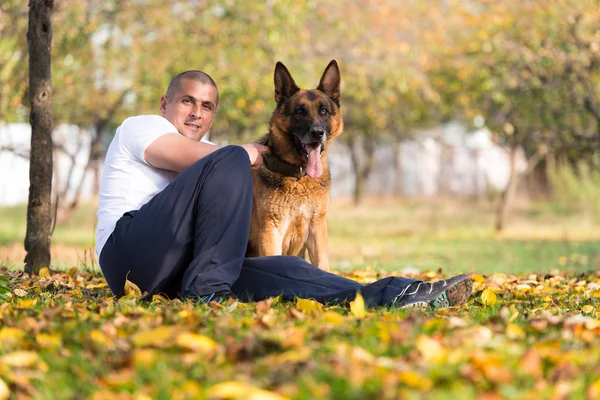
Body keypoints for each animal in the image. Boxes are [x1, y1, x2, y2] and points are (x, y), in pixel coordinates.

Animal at [246, 60, 342, 272]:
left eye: (324, 111)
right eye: (299, 111)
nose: (317, 133)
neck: (300, 177)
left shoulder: (317, 229)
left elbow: (322, 266)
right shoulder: (271, 232)